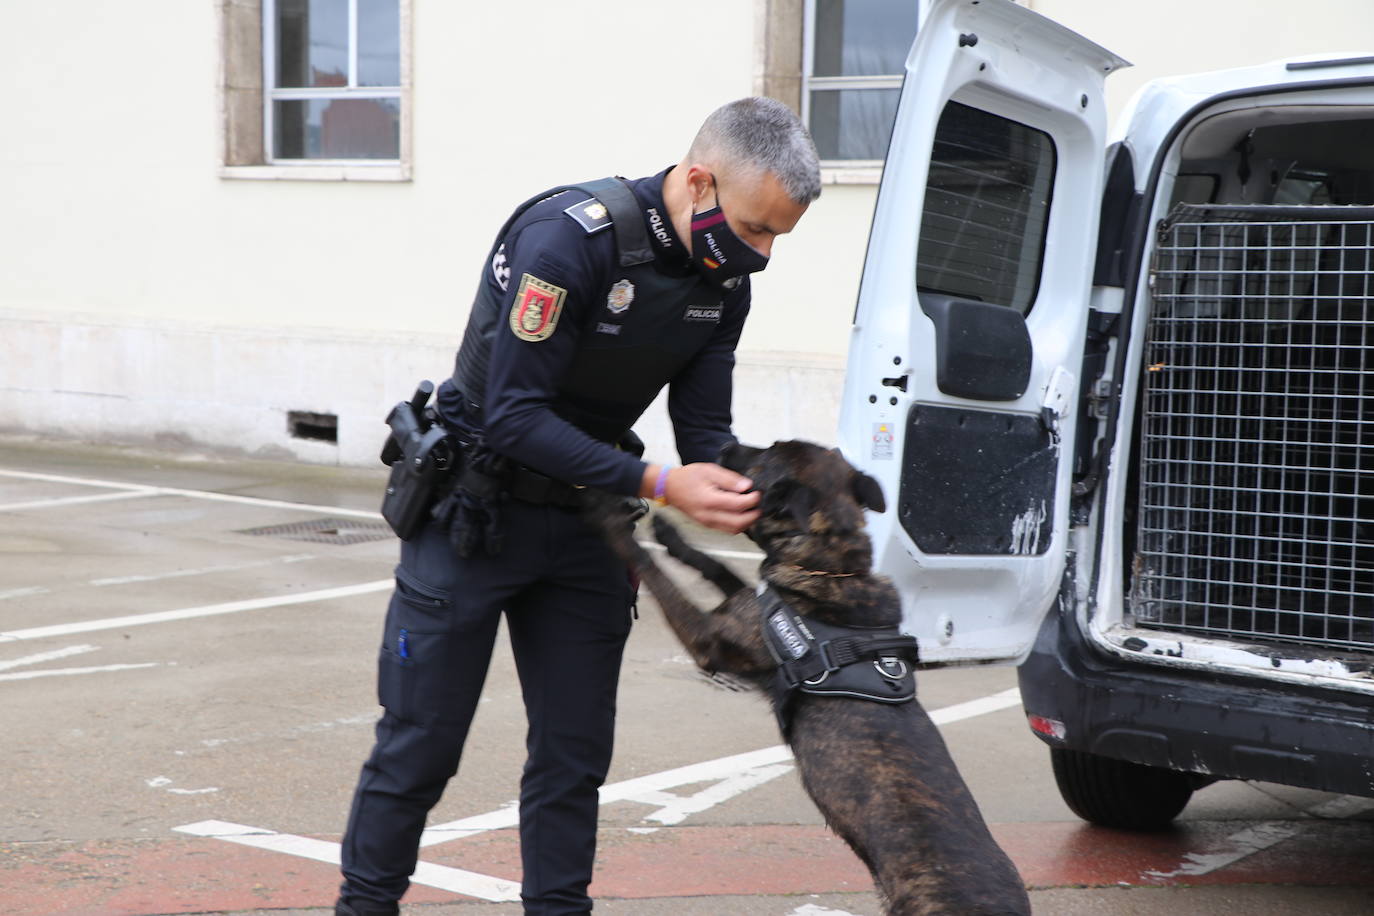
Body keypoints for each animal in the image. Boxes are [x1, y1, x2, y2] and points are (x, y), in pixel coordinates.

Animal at [585, 439, 1027, 911]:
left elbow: (655, 572)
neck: (832, 565)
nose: (726, 444)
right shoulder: (749, 601)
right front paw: (674, 537)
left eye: (763, 456)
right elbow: (716, 565)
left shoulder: (707, 639)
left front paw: (607, 515)